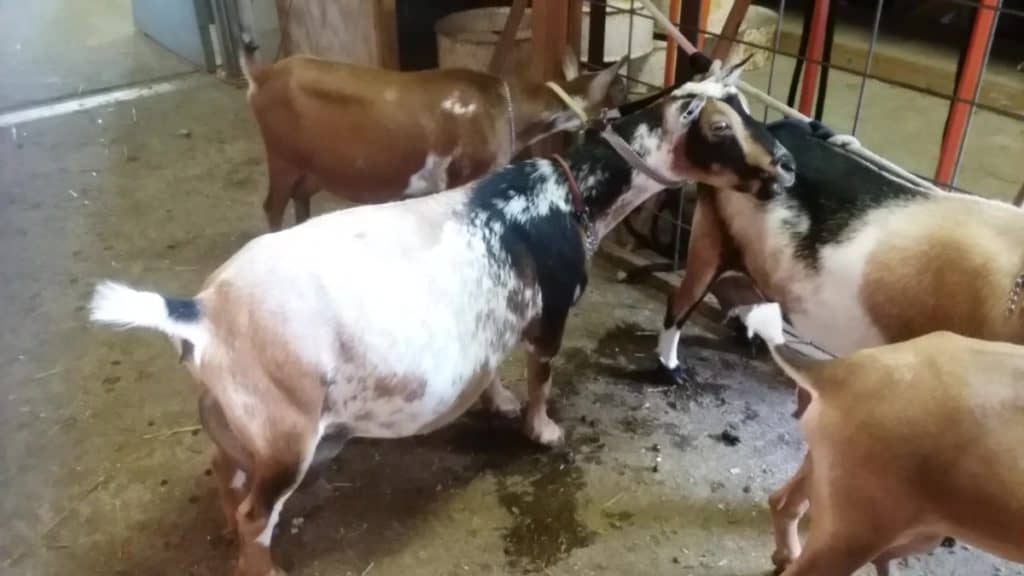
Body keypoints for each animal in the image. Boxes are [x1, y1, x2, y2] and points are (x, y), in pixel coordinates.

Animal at [88, 63, 790, 573]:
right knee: (257, 515)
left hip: (235, 419)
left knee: (225, 479)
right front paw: (542, 430)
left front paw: (499, 404)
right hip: (286, 429)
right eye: (719, 127)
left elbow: (494, 364)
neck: (568, 194)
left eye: (747, 109)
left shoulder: (493, 318)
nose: (784, 166)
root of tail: (199, 313)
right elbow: (542, 374)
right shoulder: (555, 305)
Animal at [241, 44, 622, 228]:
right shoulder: (464, 174)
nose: (617, 121)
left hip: (313, 166)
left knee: (299, 197)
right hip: (282, 156)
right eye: (615, 97)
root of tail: (262, 75)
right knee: (272, 205)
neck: (505, 108)